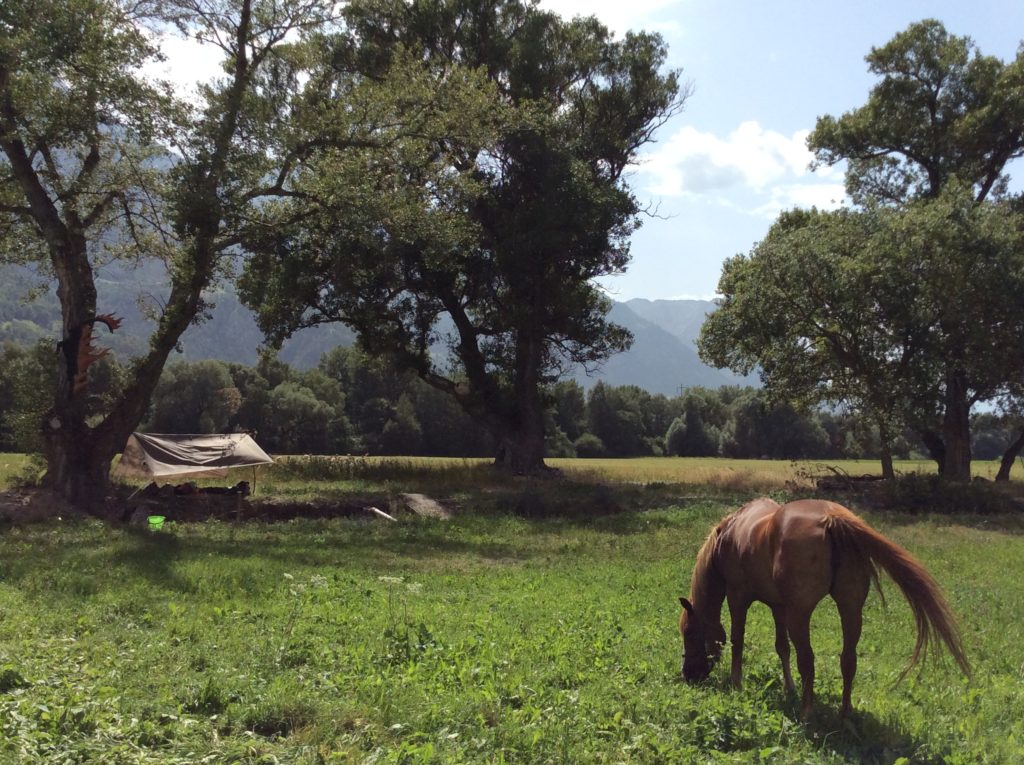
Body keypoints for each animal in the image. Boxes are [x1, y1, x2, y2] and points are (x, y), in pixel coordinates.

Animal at [679, 497, 966, 716]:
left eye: (689, 633)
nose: (689, 675)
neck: (729, 535)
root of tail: (832, 519)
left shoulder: (739, 598)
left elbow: (738, 640)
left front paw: (736, 682)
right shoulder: (778, 605)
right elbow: (781, 647)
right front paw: (789, 688)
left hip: (800, 614)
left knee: (808, 659)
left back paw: (807, 713)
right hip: (850, 609)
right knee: (848, 659)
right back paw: (845, 712)